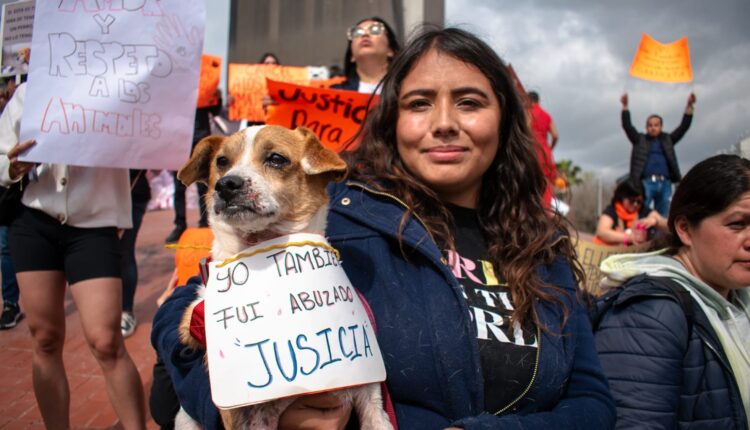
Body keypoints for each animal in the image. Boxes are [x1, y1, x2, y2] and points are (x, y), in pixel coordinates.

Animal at [174, 122, 396, 428]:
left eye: (276, 159)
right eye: (221, 162)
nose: (226, 184)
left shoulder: (370, 391)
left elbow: (379, 419)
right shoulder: (245, 416)